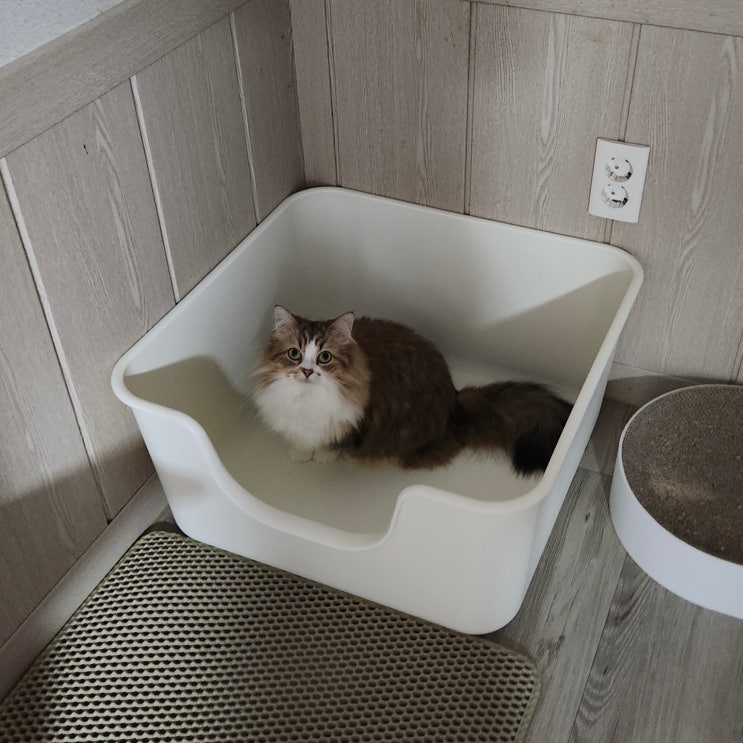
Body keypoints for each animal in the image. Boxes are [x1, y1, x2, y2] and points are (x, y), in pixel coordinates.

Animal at [253, 305, 572, 475]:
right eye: (294, 354)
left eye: (325, 357)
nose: (306, 371)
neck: (305, 401)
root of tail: (454, 403)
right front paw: (300, 453)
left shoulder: (352, 423)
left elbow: (331, 444)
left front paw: (321, 457)